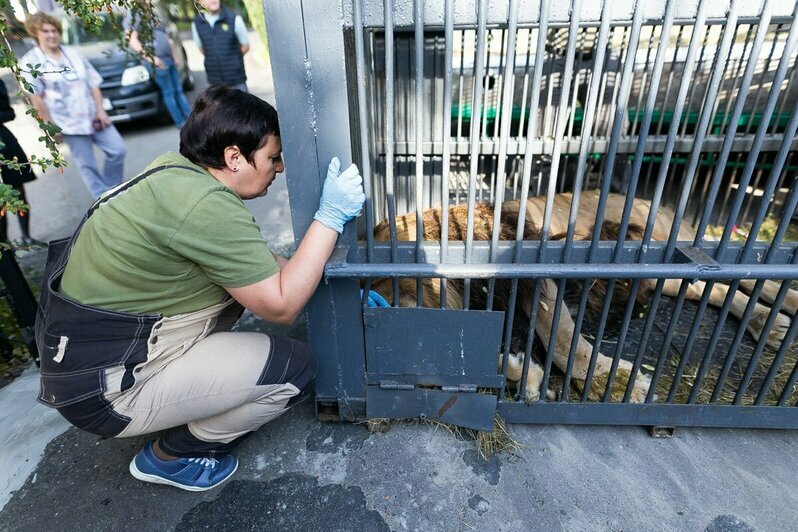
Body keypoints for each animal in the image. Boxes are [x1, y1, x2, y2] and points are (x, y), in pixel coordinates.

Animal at [372, 191, 796, 404]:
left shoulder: (537, 278)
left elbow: (563, 342)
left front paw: (618, 382)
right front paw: (520, 375)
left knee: (735, 272)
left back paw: (779, 313)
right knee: (715, 286)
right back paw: (770, 321)